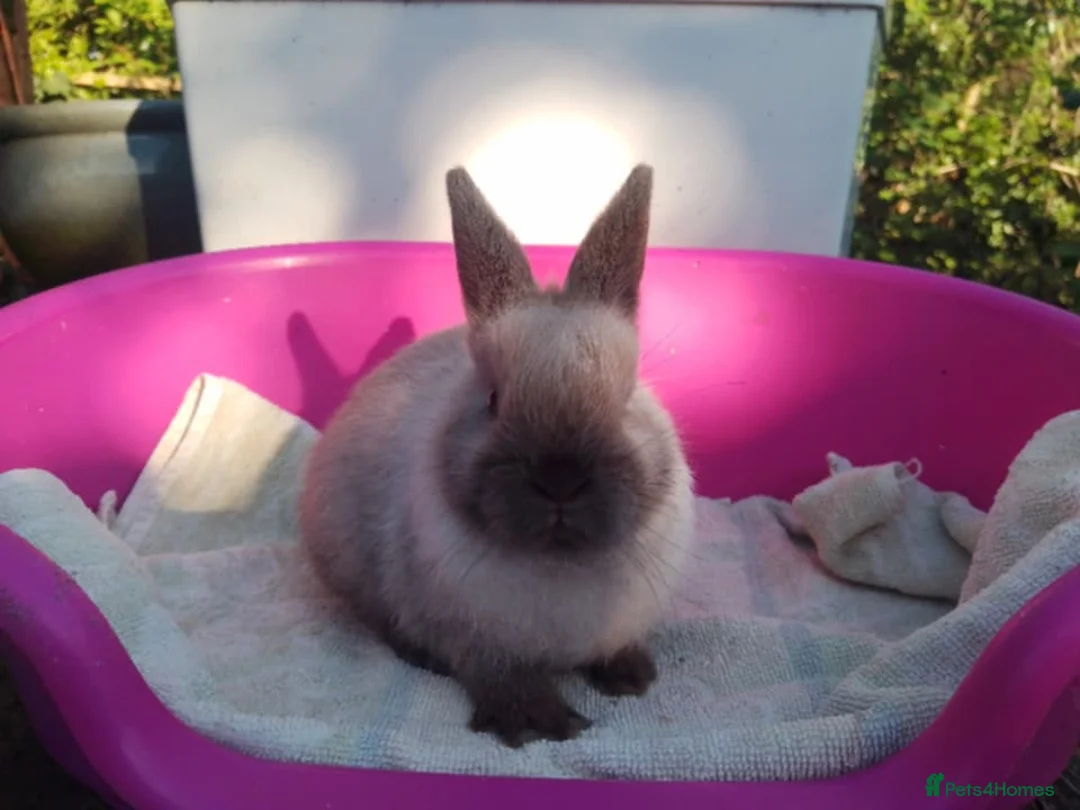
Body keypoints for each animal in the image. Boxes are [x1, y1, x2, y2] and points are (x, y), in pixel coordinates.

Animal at [299, 163, 696, 748]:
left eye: (626, 399)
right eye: (492, 400)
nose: (560, 479)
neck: (558, 562)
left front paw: (632, 678)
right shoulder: (476, 645)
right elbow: (500, 678)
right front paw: (543, 724)